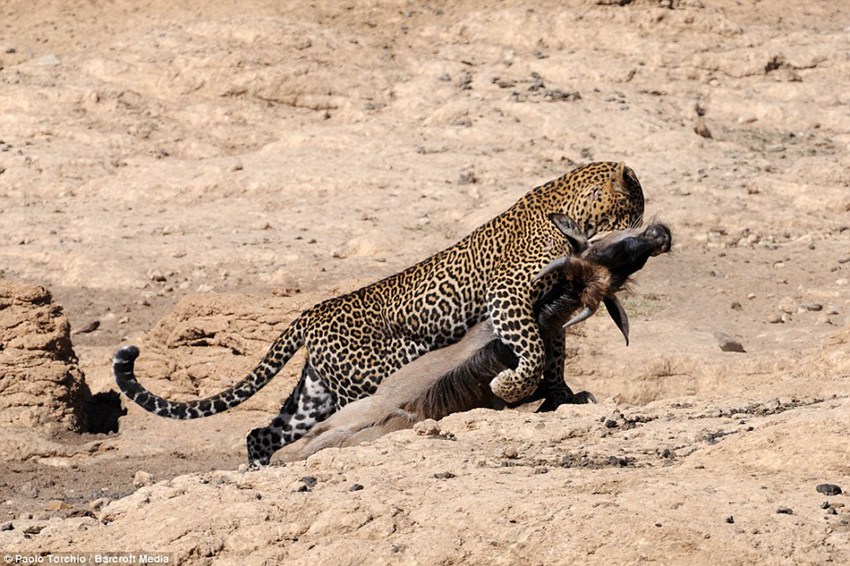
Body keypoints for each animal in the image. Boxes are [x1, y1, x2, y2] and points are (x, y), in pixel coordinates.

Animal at [112, 161, 644, 466]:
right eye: (636, 201)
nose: (646, 223)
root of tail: (310, 313)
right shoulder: (509, 296)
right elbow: (533, 350)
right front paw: (511, 386)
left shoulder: (549, 300)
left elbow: (554, 351)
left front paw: (563, 397)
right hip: (364, 380)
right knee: (349, 421)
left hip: (316, 391)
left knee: (263, 433)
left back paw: (261, 471)